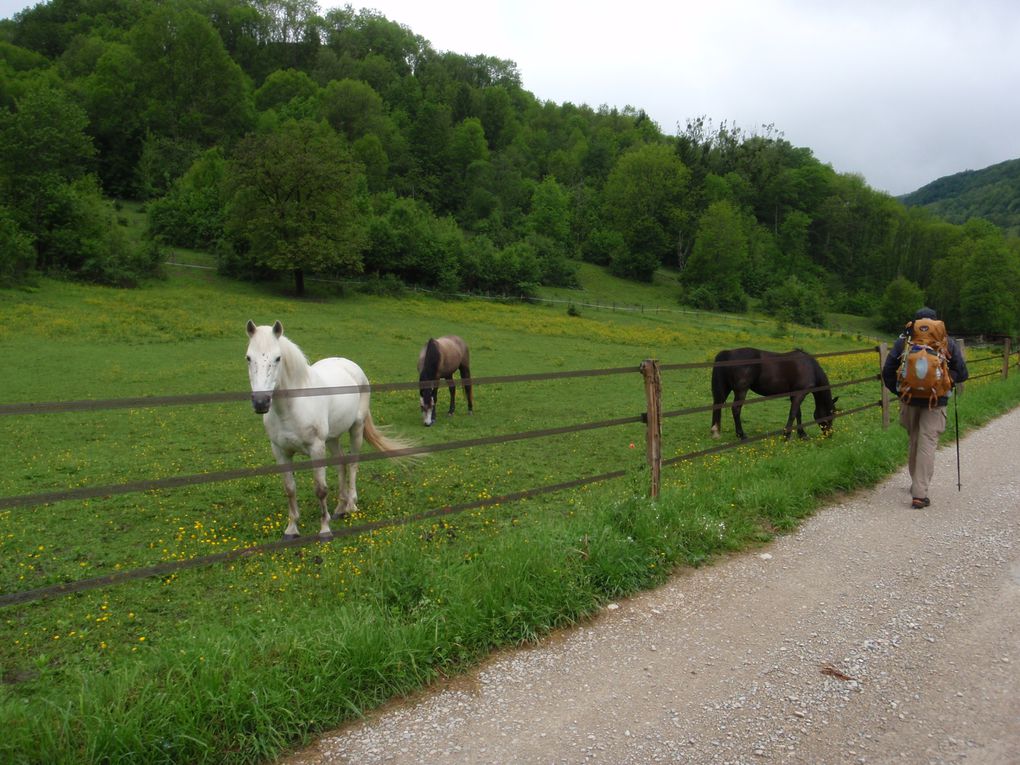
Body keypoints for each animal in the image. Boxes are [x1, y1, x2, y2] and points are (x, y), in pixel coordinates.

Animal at [244, 320, 412, 542]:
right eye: (248, 358)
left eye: (278, 358)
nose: (261, 402)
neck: (291, 407)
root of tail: (350, 365)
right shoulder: (280, 451)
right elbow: (290, 489)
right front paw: (291, 529)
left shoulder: (316, 448)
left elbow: (320, 489)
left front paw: (325, 529)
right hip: (332, 439)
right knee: (341, 462)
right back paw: (340, 508)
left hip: (356, 429)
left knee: (353, 464)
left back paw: (351, 504)